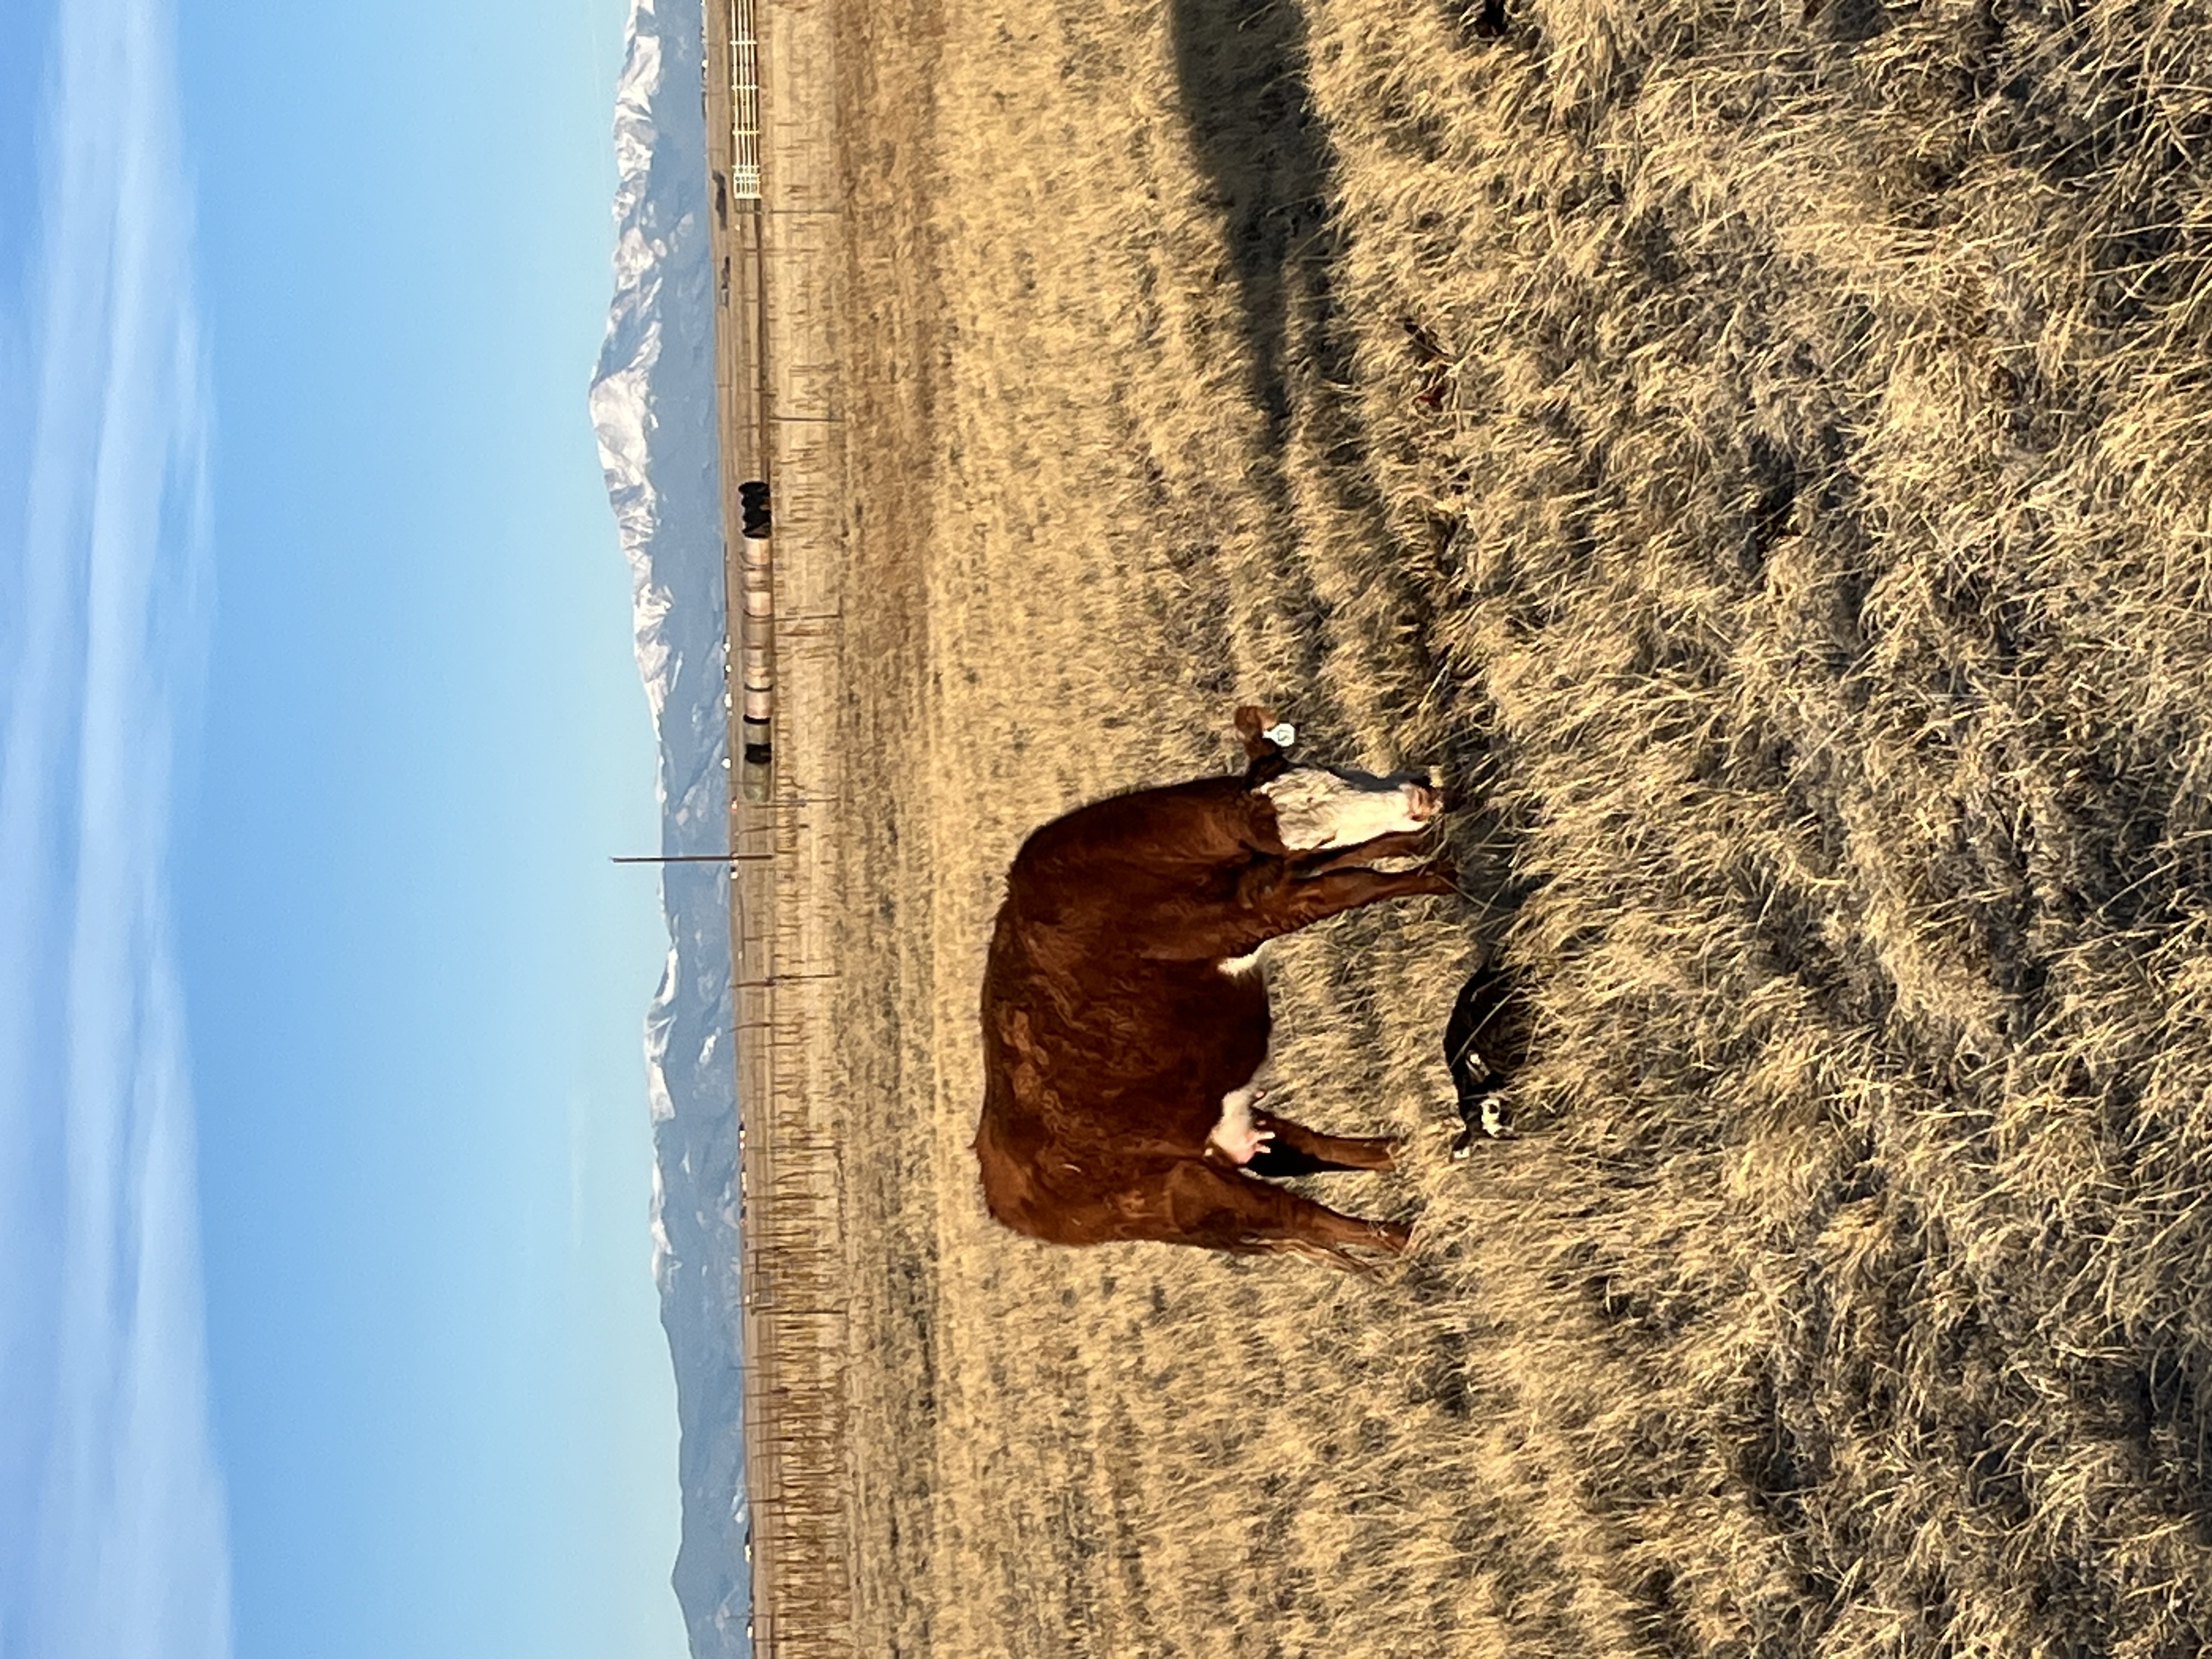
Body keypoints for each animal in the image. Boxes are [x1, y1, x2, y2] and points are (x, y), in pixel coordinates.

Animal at [973, 707, 1460, 1271]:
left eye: (1331, 769)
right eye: (1316, 835)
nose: (1419, 797)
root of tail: (1004, 1192)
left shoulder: (1273, 875)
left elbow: (1361, 854)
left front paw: (1419, 847)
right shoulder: (1264, 909)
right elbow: (1357, 882)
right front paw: (1440, 876)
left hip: (1226, 1132)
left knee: (1314, 1147)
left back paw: (1410, 1147)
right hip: (1194, 1190)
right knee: (1307, 1217)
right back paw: (1404, 1236)